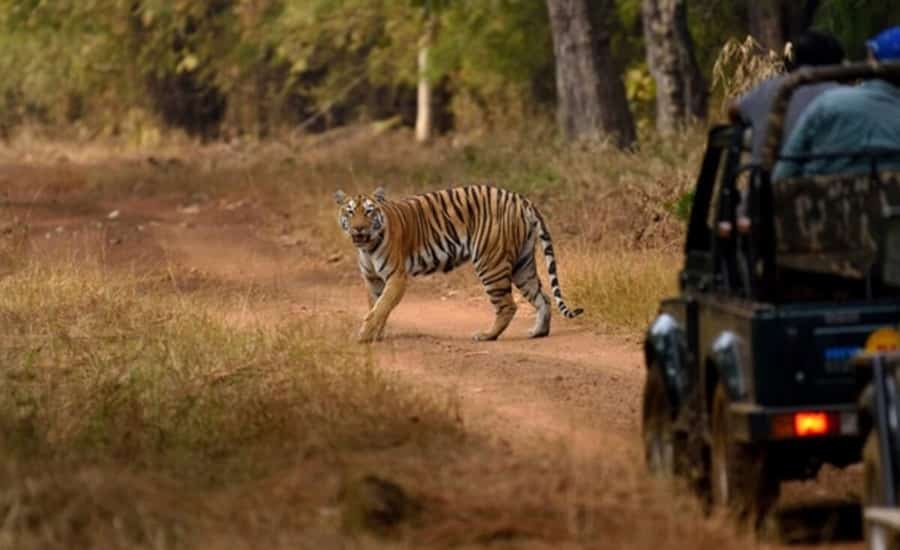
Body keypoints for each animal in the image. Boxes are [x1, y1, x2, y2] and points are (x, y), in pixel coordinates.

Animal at [332, 185, 584, 342]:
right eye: (350, 212)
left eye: (369, 212)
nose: (358, 229)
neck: (367, 247)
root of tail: (520, 199)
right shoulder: (373, 279)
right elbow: (375, 306)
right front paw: (375, 335)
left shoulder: (397, 277)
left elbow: (381, 307)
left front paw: (364, 336)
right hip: (523, 265)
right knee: (543, 297)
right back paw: (538, 332)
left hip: (490, 262)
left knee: (507, 305)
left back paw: (487, 336)